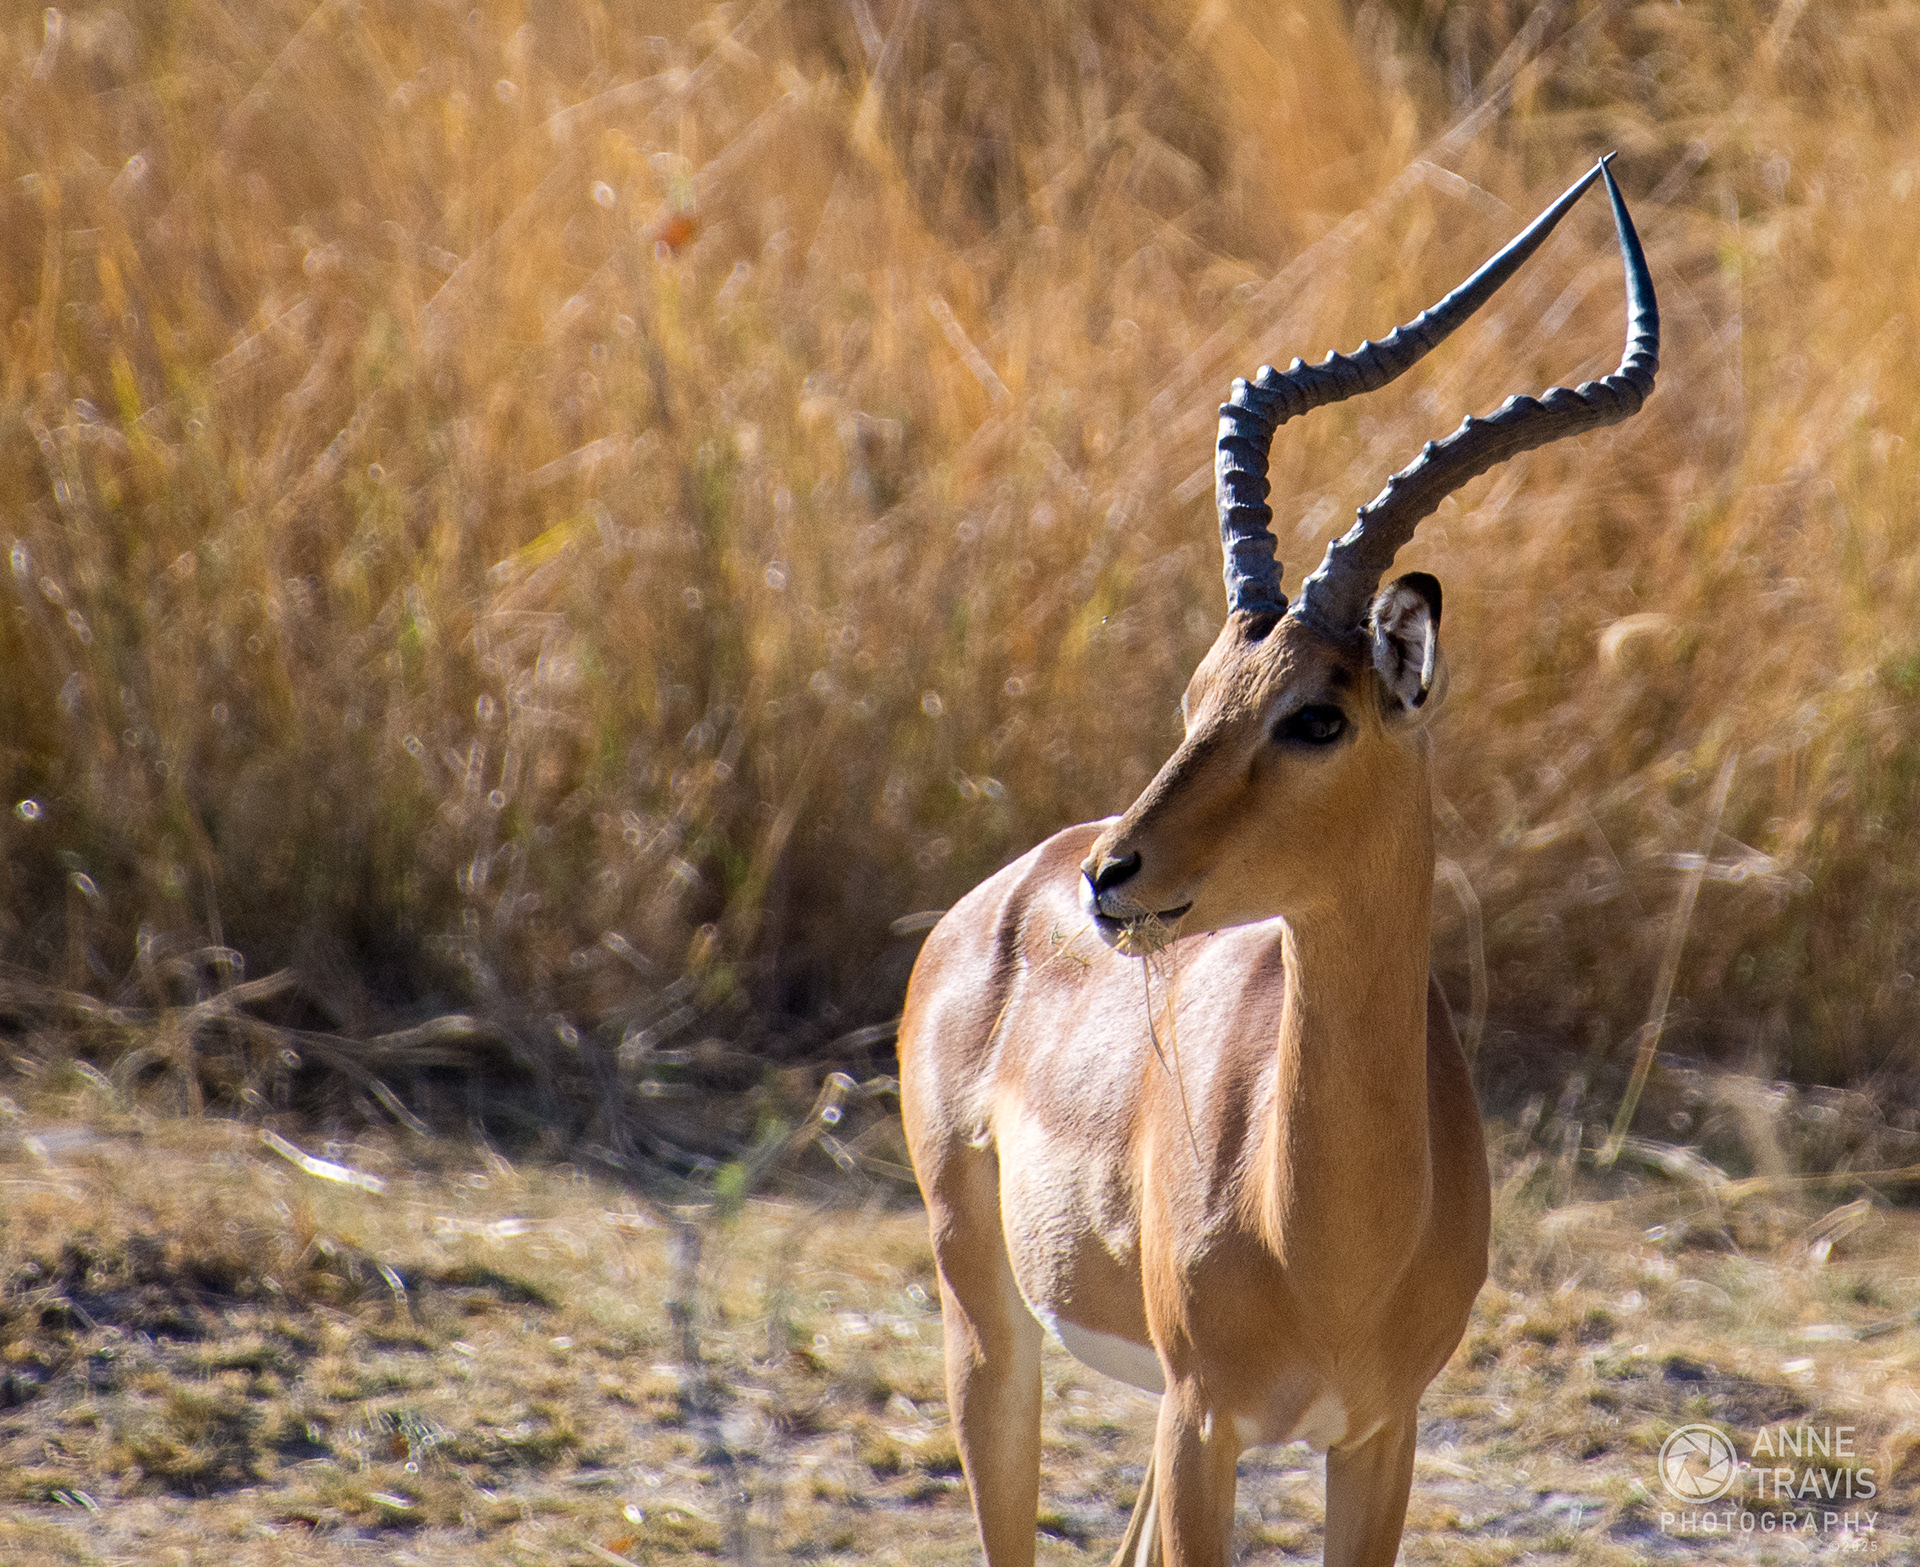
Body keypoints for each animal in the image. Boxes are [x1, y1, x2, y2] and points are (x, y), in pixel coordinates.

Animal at [897, 158, 1657, 1567]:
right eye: (1201, 693)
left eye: (1317, 716)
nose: (1117, 879)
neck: (1329, 1240)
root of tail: (999, 891)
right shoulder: (1207, 1424)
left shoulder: (1374, 1437)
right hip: (993, 1331)